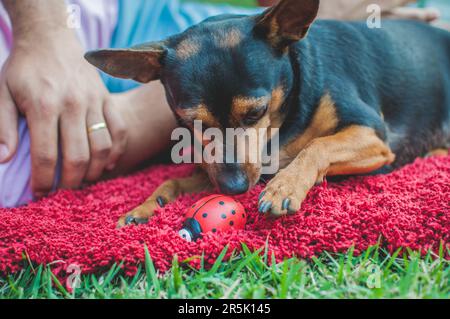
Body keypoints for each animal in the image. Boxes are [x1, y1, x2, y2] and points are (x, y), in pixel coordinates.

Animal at [85, 0, 450, 228]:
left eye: (256, 113)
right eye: (189, 123)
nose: (233, 189)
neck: (283, 124)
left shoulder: (372, 134)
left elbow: (316, 146)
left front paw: (284, 187)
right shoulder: (221, 169)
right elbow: (173, 179)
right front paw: (146, 206)